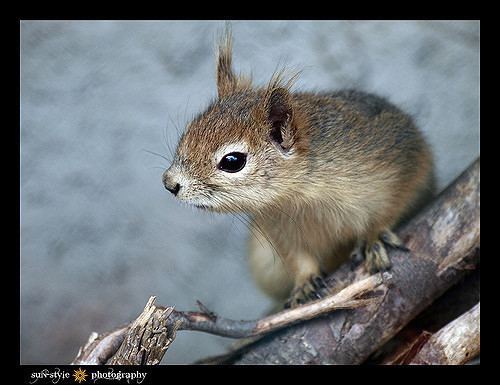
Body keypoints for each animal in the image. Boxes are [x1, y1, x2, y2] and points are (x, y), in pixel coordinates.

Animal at [163, 29, 434, 306]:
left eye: (232, 161)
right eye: (189, 130)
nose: (169, 183)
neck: (303, 197)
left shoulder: (401, 161)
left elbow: (394, 204)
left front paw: (374, 236)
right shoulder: (281, 230)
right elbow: (298, 257)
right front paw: (305, 282)